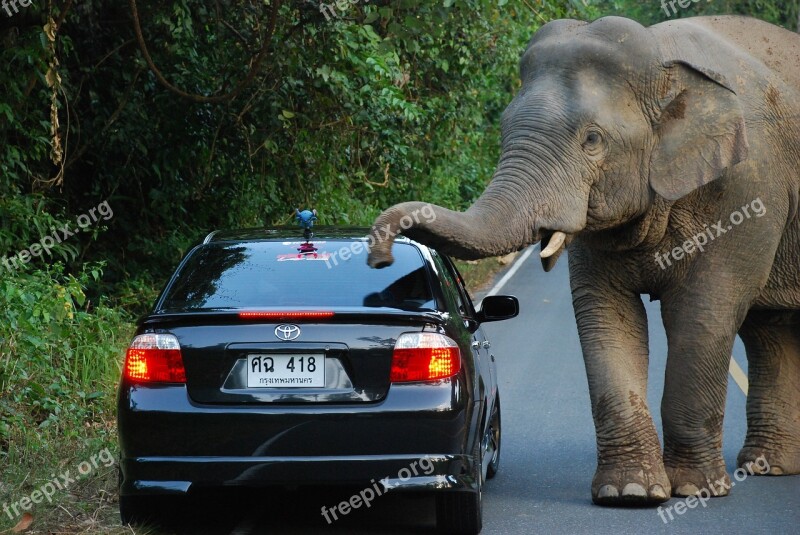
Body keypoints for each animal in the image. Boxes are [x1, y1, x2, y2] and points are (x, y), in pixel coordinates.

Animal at [368, 14, 800, 504]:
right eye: (503, 128)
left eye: (592, 139)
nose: (379, 257)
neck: (663, 61)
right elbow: (605, 313)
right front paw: (629, 492)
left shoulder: (747, 193)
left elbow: (702, 313)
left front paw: (694, 490)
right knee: (769, 332)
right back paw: (769, 467)